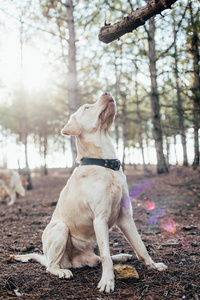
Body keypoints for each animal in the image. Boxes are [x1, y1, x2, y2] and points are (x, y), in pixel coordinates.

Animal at [11, 94, 167, 292]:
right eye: (86, 107)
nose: (107, 93)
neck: (105, 164)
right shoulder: (100, 219)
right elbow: (107, 257)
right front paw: (108, 281)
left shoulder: (125, 216)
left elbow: (140, 246)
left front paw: (153, 265)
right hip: (61, 229)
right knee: (52, 266)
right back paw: (61, 271)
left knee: (99, 257)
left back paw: (121, 256)